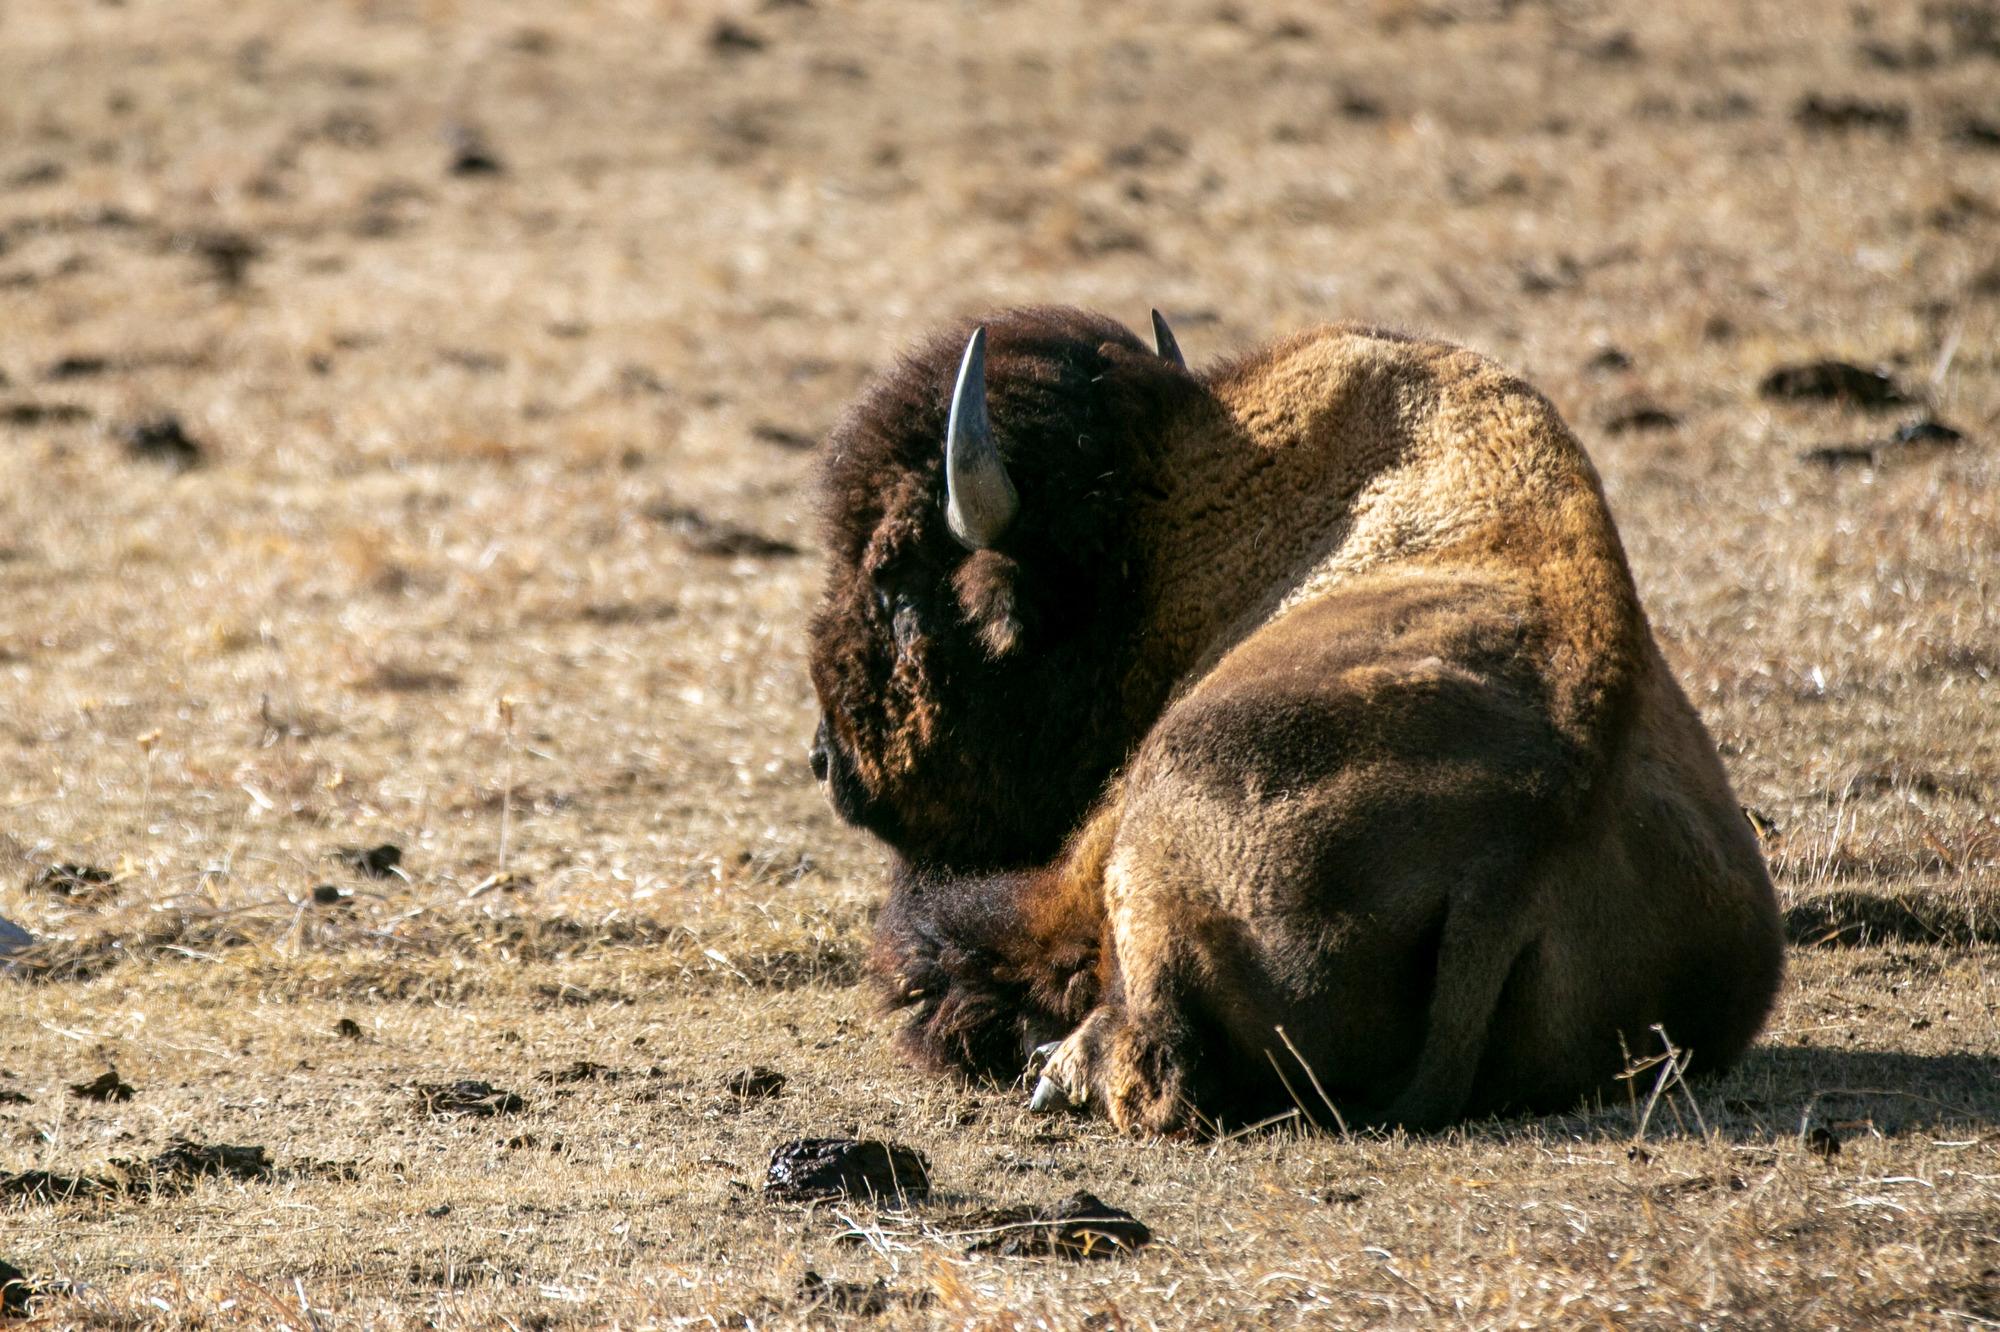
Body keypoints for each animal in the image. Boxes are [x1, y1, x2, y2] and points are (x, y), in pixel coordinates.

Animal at [804, 304, 1792, 1128]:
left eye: (894, 582)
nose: (827, 761)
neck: (1180, 524)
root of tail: (1519, 856)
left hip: (1160, 823)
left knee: (1153, 1059)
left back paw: (1054, 1067)